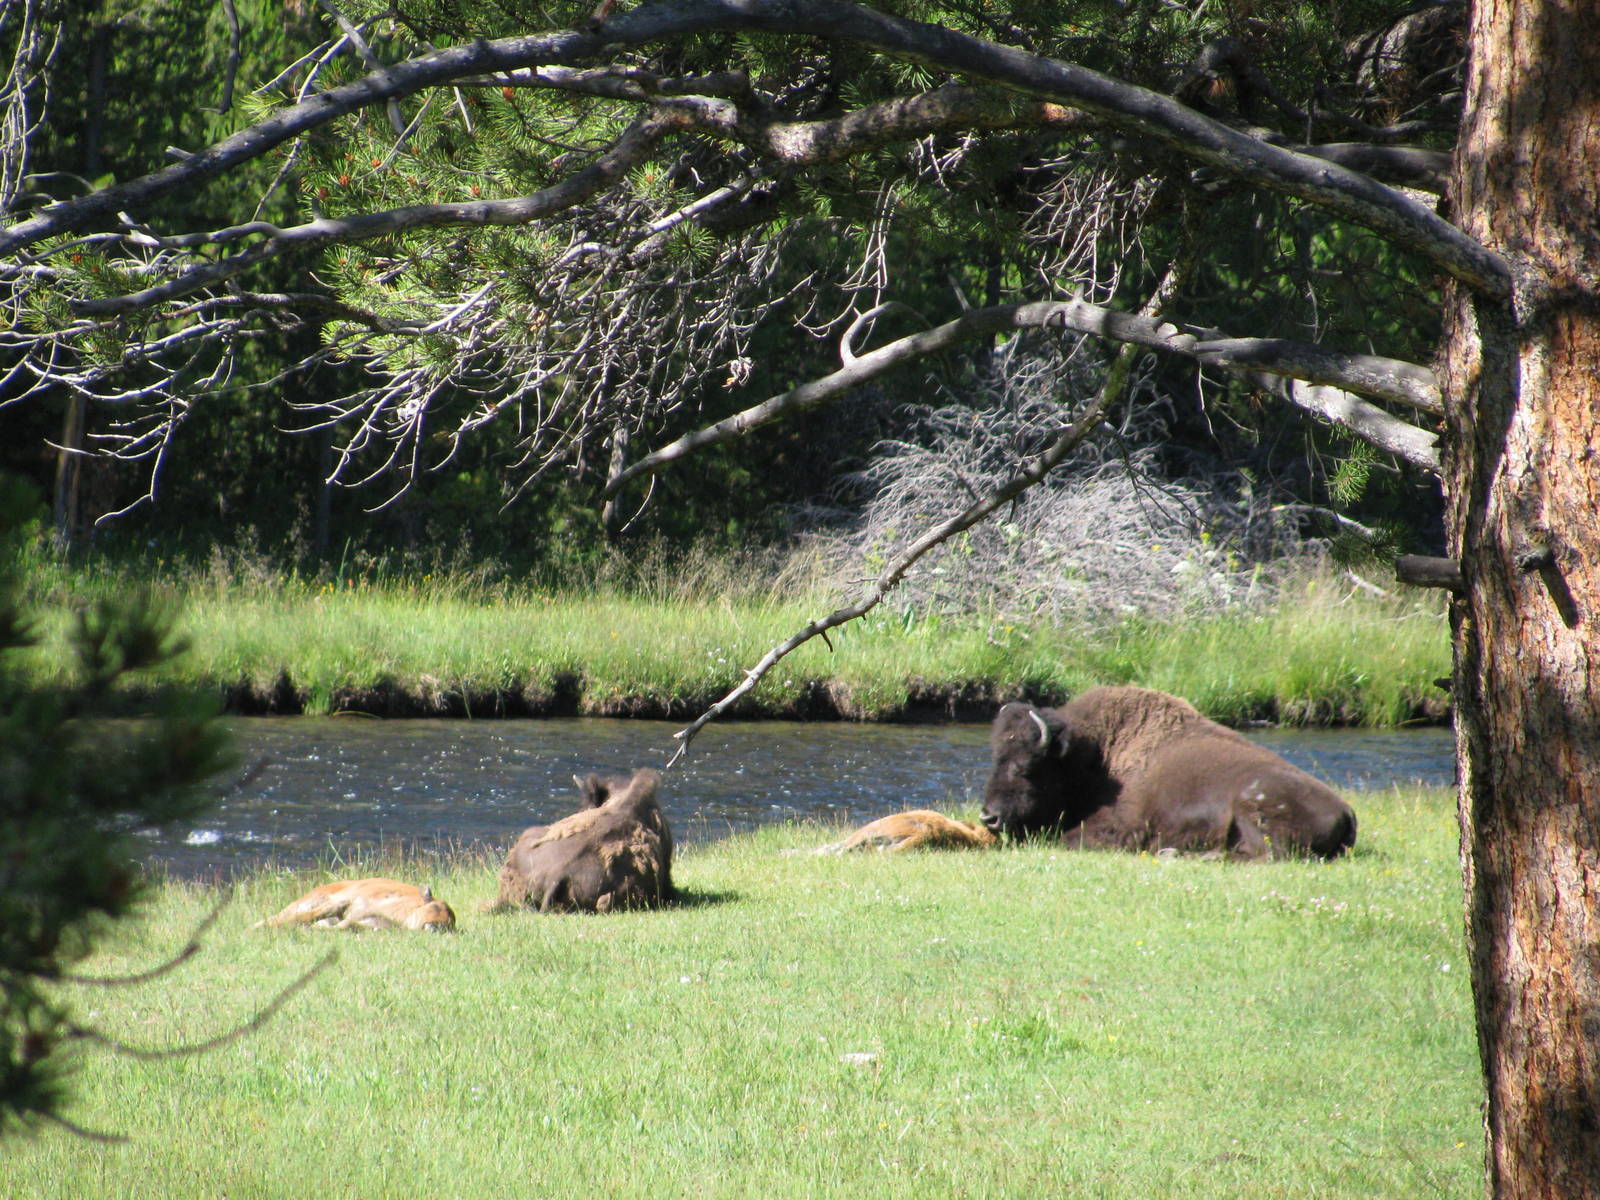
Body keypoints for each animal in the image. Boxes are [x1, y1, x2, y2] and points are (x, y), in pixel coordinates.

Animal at [982, 686, 1357, 858]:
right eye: (995, 757)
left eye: (1025, 767)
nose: (989, 817)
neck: (1094, 756)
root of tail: (1346, 810)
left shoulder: (1122, 828)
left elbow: (1067, 837)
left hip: (1253, 802)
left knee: (1265, 856)